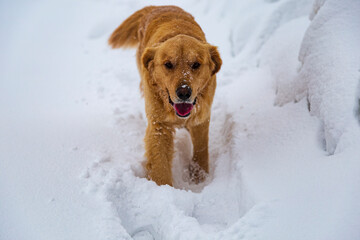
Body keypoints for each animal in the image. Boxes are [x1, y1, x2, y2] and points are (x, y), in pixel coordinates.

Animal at [109, 5, 222, 186]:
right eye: (168, 64)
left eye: (196, 64)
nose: (184, 92)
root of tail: (156, 6)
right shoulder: (159, 125)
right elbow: (160, 161)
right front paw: (163, 187)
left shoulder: (201, 117)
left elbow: (201, 148)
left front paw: (199, 176)